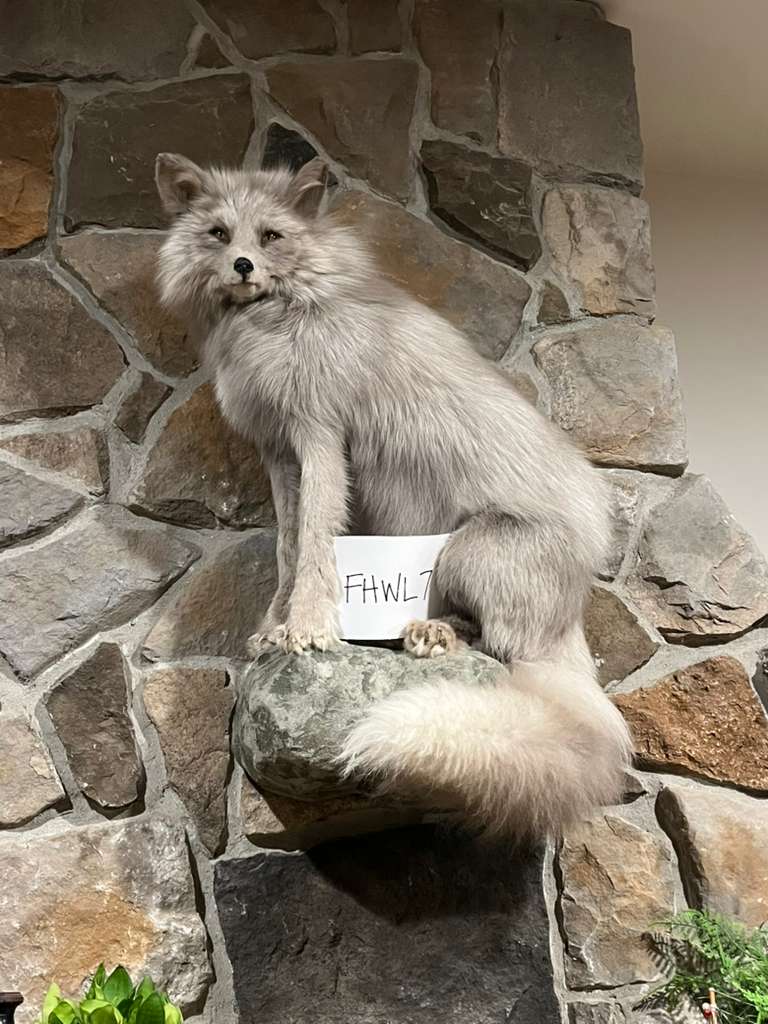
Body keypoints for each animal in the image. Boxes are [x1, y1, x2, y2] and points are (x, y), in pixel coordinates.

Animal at [154, 152, 632, 840]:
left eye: (270, 236)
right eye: (219, 234)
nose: (243, 266)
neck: (279, 317)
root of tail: (574, 608)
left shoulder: (321, 436)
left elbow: (317, 542)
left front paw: (309, 630)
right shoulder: (279, 453)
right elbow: (287, 548)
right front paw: (273, 628)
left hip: (466, 552)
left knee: (499, 647)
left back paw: (434, 634)